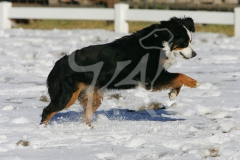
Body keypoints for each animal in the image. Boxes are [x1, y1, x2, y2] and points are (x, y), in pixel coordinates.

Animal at [40, 16, 199, 127]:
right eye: (185, 43)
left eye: (191, 41)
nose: (195, 54)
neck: (160, 41)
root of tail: (61, 62)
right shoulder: (150, 77)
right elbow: (180, 75)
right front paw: (194, 83)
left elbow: (176, 79)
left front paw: (173, 94)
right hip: (67, 96)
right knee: (48, 111)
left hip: (92, 97)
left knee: (85, 116)